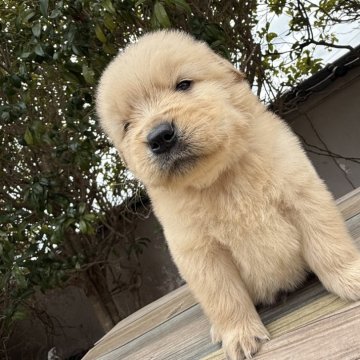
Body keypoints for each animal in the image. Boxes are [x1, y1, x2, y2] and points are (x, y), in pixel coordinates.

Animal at [95, 30, 360, 358]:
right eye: (128, 125)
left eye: (183, 85)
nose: (159, 137)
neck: (220, 177)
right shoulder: (201, 253)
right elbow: (225, 297)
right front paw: (239, 335)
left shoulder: (303, 197)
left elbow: (330, 248)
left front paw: (351, 278)